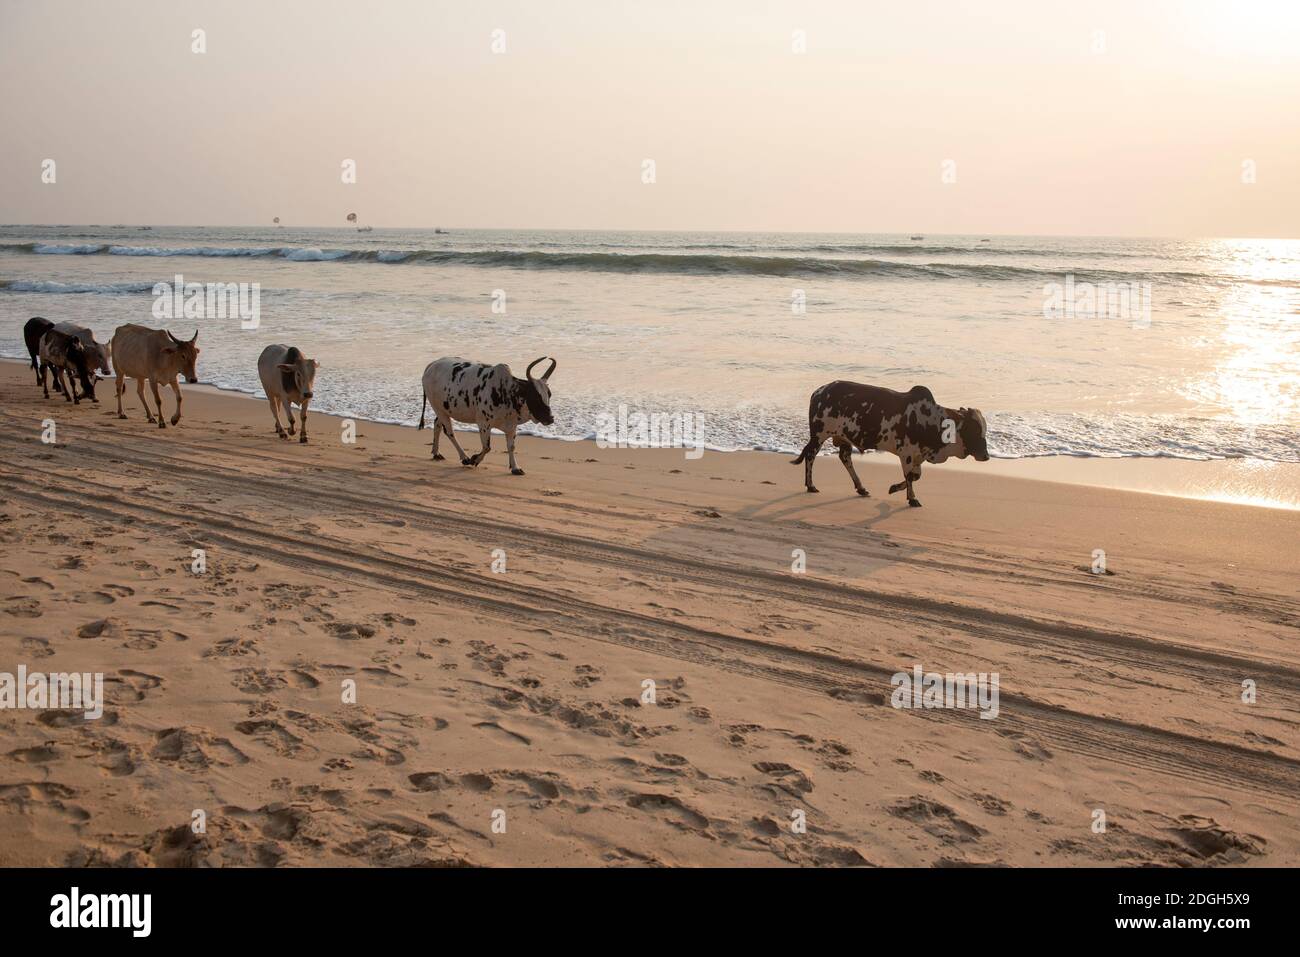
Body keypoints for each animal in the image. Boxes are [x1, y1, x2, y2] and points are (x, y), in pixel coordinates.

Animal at [418, 356, 556, 475]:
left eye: (549, 394)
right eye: (535, 396)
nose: (550, 418)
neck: (506, 391)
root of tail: (432, 364)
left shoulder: (512, 426)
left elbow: (511, 447)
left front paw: (515, 468)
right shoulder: (483, 424)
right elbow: (487, 447)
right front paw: (474, 459)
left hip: (443, 410)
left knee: (437, 425)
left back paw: (436, 453)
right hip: (439, 409)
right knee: (450, 432)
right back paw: (464, 457)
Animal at [790, 379, 982, 509]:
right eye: (974, 429)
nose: (985, 455)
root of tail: (818, 392)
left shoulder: (919, 455)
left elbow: (915, 476)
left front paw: (895, 488)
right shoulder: (907, 453)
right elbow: (910, 476)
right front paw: (912, 499)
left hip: (843, 439)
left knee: (844, 458)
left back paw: (861, 488)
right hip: (819, 436)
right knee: (811, 455)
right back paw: (811, 485)